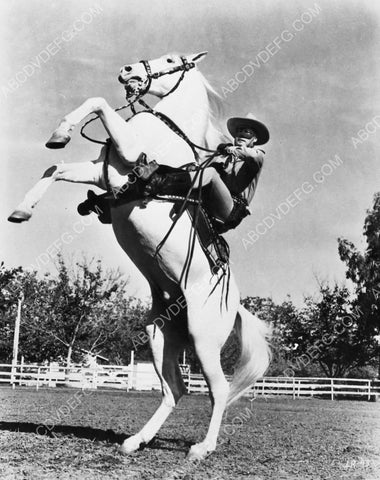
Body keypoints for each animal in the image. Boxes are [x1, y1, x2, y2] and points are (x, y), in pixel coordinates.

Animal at [8, 52, 270, 462]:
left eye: (172, 59)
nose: (127, 71)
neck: (166, 129)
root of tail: (235, 304)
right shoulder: (101, 175)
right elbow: (56, 167)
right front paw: (23, 208)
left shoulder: (126, 156)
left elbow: (97, 102)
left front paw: (60, 133)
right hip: (160, 332)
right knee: (175, 389)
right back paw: (136, 441)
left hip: (203, 338)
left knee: (219, 389)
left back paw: (201, 448)